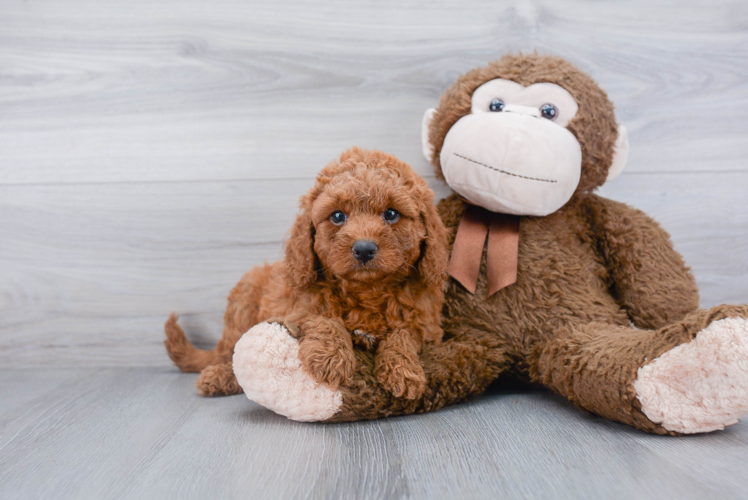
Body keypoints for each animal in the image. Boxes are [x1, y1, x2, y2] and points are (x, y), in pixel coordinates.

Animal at [165, 146, 450, 400]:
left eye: (391, 213)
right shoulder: (297, 308)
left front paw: (403, 371)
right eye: (337, 216)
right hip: (243, 301)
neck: (366, 290)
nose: (364, 249)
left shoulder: (427, 326)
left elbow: (403, 334)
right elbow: (323, 318)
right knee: (235, 352)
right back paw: (220, 376)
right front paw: (331, 358)